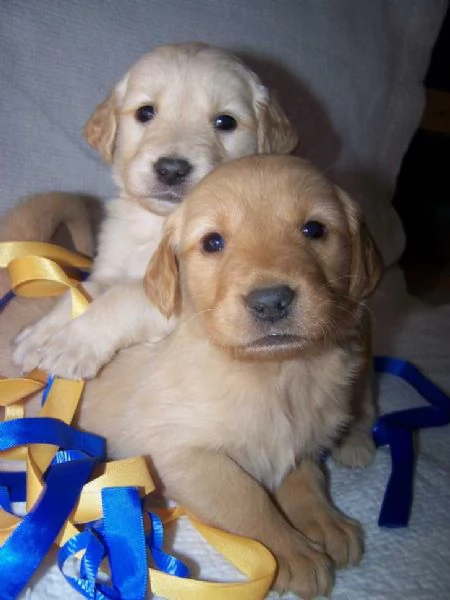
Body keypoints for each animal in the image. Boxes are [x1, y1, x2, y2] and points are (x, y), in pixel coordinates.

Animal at [12, 42, 298, 380]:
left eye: (225, 122)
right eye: (145, 112)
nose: (171, 169)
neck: (157, 223)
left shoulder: (182, 301)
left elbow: (121, 299)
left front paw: (72, 343)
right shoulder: (111, 269)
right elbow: (80, 290)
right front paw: (39, 335)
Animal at [74, 156, 384, 600]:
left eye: (314, 229)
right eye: (213, 243)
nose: (270, 301)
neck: (277, 373)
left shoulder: (297, 439)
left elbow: (306, 479)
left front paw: (324, 521)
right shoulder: (178, 451)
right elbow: (245, 498)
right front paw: (292, 551)